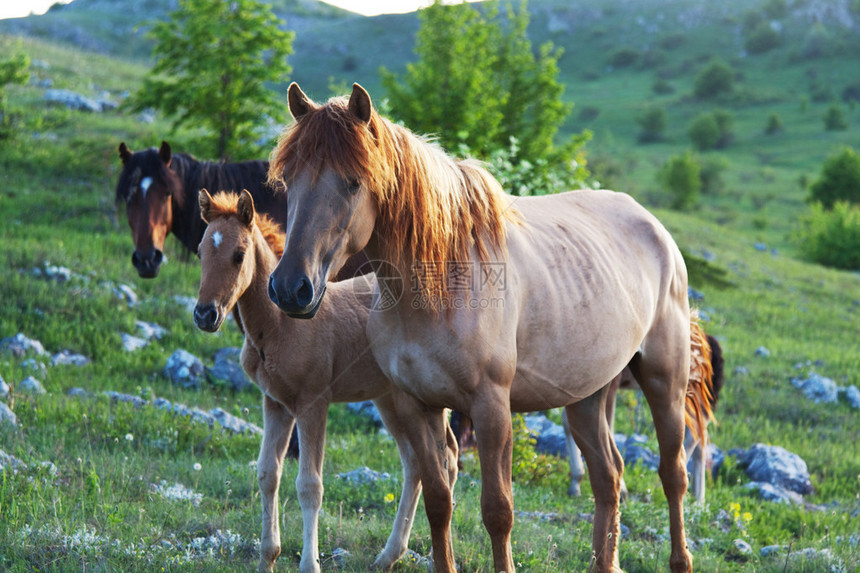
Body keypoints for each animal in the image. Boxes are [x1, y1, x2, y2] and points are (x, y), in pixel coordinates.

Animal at [268, 84, 700, 572]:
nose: (291, 288)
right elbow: (438, 501)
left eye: (354, 181)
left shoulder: (491, 407)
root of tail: (655, 227)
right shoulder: (417, 405)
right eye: (289, 179)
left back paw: (680, 560)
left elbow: (498, 511)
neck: (441, 282)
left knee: (673, 475)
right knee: (608, 477)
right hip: (587, 395)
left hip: (664, 381)